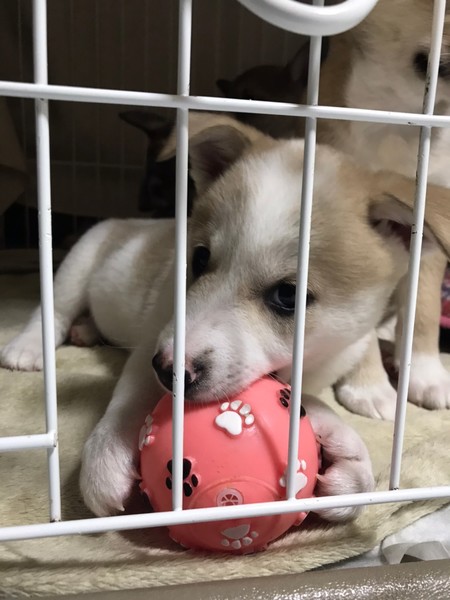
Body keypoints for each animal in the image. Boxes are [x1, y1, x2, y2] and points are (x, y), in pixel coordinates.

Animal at [2, 112, 450, 518]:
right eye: (199, 258)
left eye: (289, 295)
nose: (168, 370)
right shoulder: (155, 337)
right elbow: (133, 391)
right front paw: (108, 450)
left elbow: (312, 394)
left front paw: (352, 445)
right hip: (81, 260)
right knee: (52, 310)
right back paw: (29, 348)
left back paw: (86, 330)